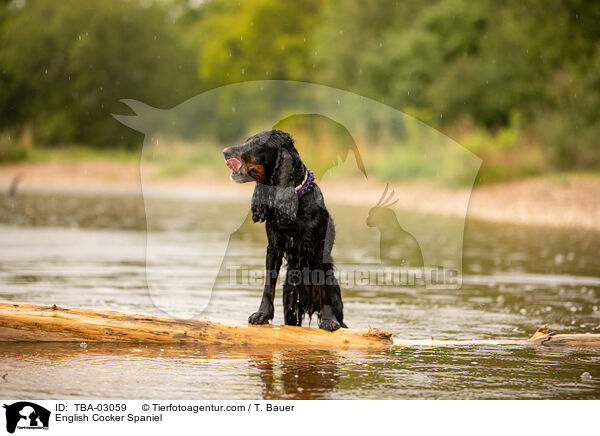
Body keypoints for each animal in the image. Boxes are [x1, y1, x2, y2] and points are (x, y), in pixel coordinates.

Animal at [224, 129, 346, 330]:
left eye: (257, 142)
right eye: (247, 140)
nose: (225, 152)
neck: (294, 200)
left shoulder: (319, 248)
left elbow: (323, 288)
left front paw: (328, 320)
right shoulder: (274, 247)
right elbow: (269, 284)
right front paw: (262, 314)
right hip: (291, 301)